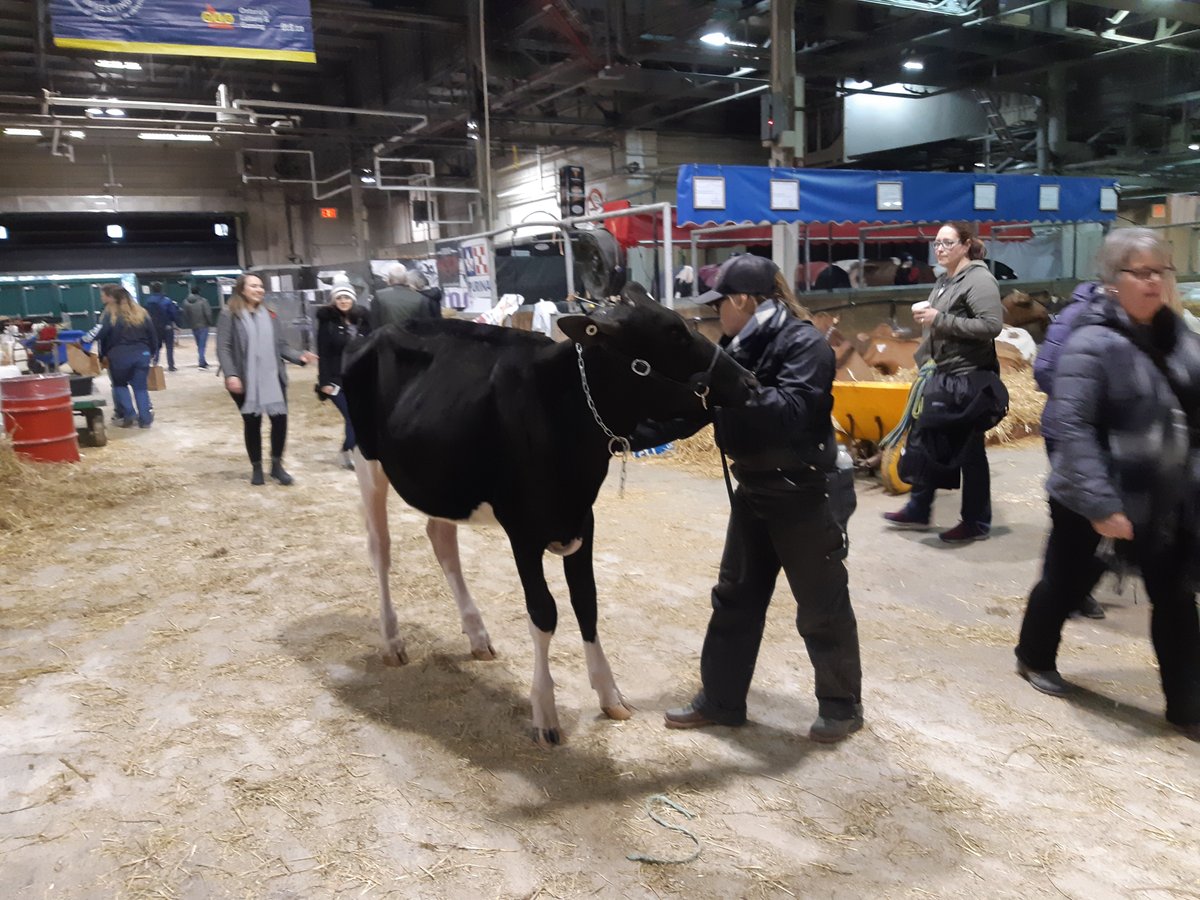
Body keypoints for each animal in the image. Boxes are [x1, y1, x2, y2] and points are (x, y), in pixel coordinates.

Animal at [340, 283, 748, 748]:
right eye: (675, 334)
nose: (750, 381)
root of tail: (373, 333)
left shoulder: (583, 519)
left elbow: (586, 602)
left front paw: (610, 695)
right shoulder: (524, 531)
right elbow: (544, 612)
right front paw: (545, 713)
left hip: (439, 477)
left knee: (442, 541)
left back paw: (477, 635)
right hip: (367, 460)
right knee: (381, 549)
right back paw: (392, 641)